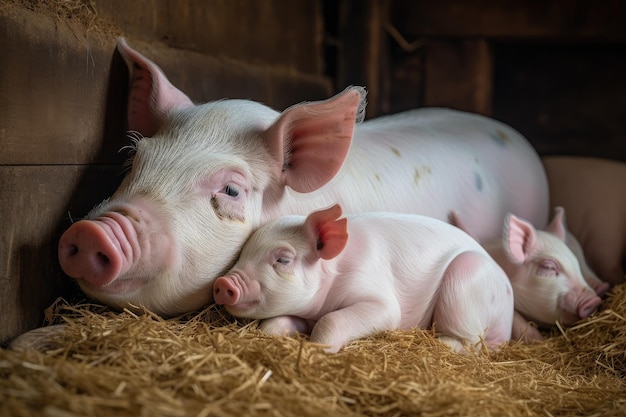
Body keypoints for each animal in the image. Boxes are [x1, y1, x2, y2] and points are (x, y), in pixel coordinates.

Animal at [211, 204, 512, 352]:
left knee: (470, 343)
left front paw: (318, 350)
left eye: (283, 259)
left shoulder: (377, 297)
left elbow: (334, 320)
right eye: (243, 253)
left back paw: (440, 343)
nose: (223, 283)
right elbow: (274, 323)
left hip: (464, 283)